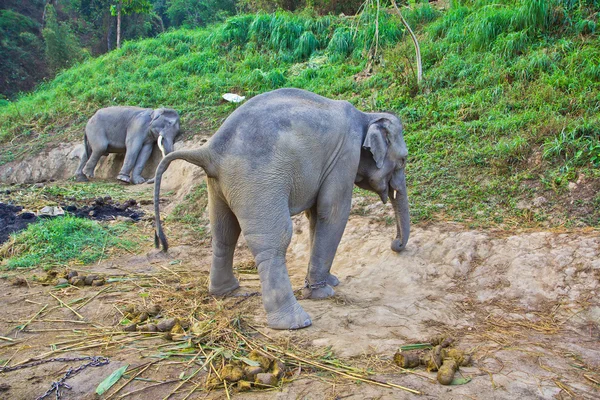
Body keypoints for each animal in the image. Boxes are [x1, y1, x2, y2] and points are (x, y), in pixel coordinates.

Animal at [152, 89, 410, 330]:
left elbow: (315, 215)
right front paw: (321, 293)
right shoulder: (344, 157)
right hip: (257, 181)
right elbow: (333, 212)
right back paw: (295, 322)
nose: (395, 245)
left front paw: (330, 282)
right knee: (274, 240)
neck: (366, 116)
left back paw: (227, 292)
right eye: (404, 160)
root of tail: (210, 150)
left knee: (224, 233)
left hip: (219, 184)